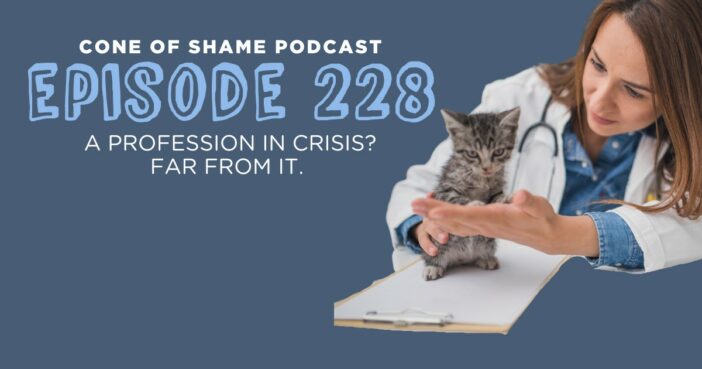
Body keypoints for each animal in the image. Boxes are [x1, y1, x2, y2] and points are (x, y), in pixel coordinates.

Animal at [420, 108, 520, 280]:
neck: (481, 178)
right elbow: (455, 198)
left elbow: (496, 196)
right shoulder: (445, 190)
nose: (487, 167)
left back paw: (485, 258)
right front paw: (474, 203)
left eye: (498, 152)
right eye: (472, 153)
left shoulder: (496, 185)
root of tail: (461, 259)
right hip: (438, 243)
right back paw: (433, 266)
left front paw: (504, 198)